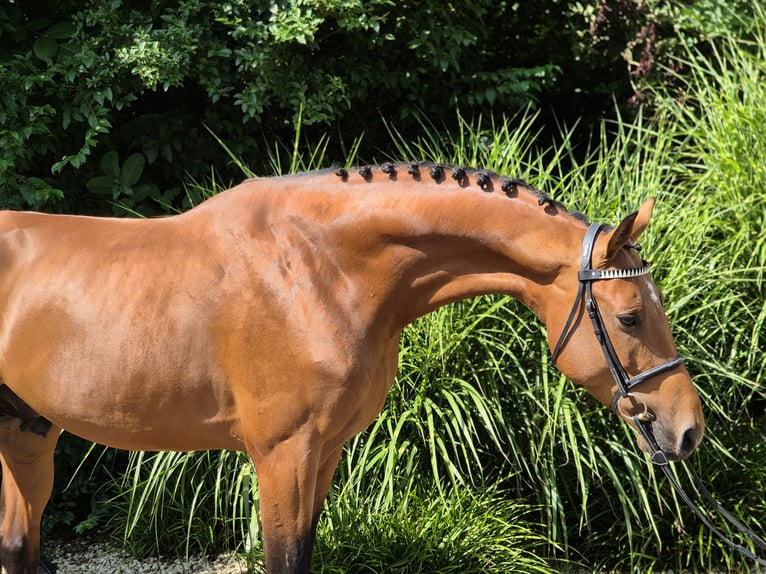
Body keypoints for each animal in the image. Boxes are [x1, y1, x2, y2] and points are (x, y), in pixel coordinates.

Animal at [0, 163, 704, 574]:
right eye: (630, 316)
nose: (688, 428)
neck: (322, 268)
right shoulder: (282, 455)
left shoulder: (326, 451)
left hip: (26, 433)